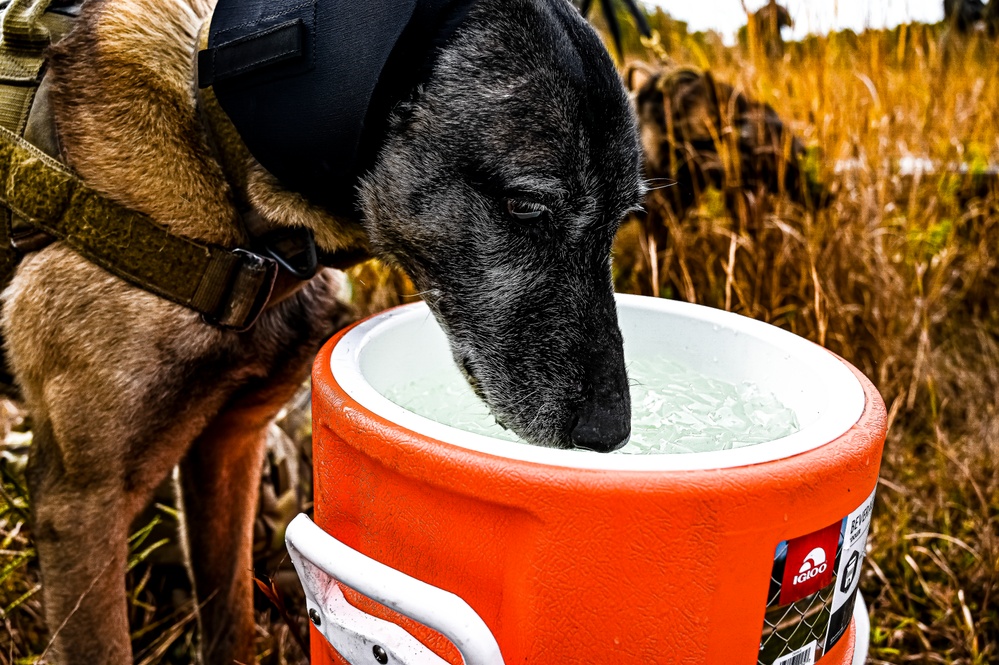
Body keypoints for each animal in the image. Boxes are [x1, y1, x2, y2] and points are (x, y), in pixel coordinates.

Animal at [3, 0, 644, 660]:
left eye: (623, 217)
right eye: (526, 206)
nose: (610, 432)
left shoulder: (228, 449)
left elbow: (231, 621)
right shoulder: (82, 502)